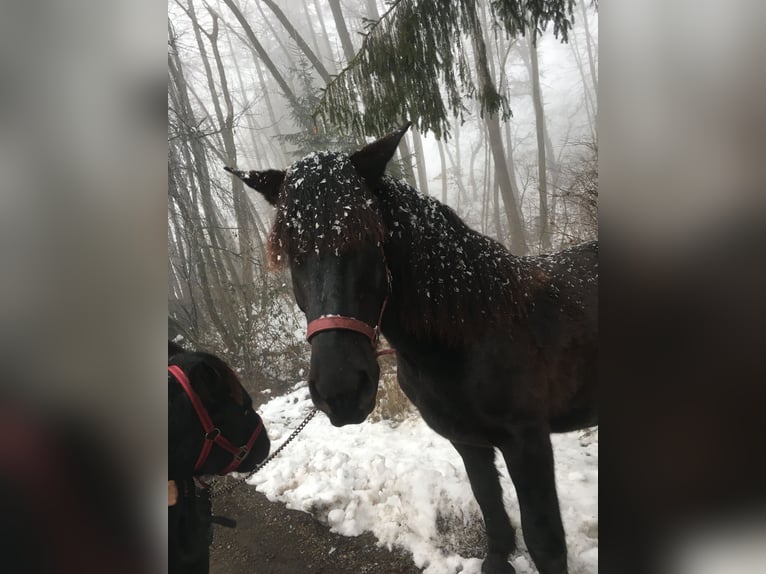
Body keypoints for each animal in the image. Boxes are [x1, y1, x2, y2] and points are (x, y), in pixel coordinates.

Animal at [226, 123, 597, 574]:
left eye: (370, 239)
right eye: (293, 256)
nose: (340, 392)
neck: (469, 337)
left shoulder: (529, 445)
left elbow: (545, 542)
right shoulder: (469, 443)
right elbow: (491, 511)